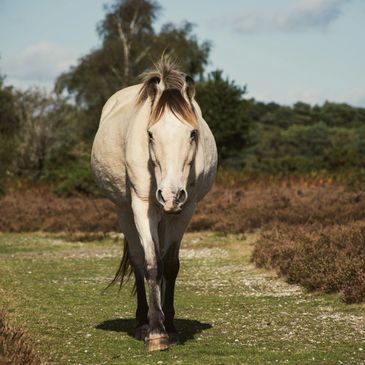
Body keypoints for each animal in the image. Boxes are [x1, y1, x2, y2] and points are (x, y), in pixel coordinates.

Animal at [90, 58, 216, 352]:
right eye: (150, 134)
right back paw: (141, 323)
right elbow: (151, 264)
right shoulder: (143, 207)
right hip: (126, 212)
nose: (170, 195)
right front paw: (156, 333)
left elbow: (169, 265)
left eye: (192, 133)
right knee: (138, 261)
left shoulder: (185, 210)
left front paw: (170, 326)